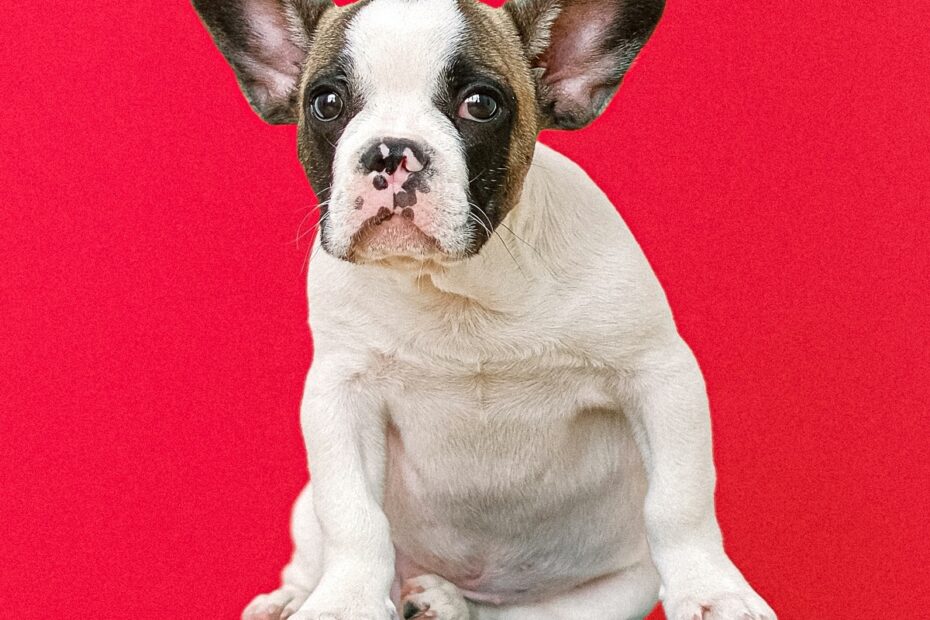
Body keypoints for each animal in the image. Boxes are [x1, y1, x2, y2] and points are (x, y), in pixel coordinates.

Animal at [192, 1, 772, 620]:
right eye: (325, 103)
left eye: (481, 104)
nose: (391, 150)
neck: (459, 290)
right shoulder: (340, 395)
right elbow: (351, 514)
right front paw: (342, 603)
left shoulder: (659, 373)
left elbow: (680, 500)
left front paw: (713, 592)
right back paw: (299, 598)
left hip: (614, 591)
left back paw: (444, 601)